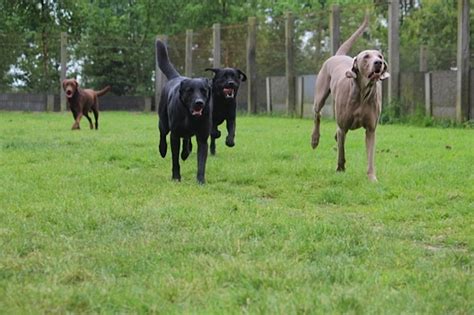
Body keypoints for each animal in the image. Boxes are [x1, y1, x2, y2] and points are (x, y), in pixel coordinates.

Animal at [156, 40, 212, 186]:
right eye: (190, 91)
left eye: (204, 90)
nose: (199, 103)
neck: (190, 116)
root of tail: (177, 77)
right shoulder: (174, 136)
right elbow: (175, 160)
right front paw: (176, 177)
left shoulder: (203, 138)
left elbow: (201, 162)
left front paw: (200, 180)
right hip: (163, 122)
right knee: (162, 135)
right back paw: (162, 150)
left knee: (187, 140)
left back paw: (185, 153)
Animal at [312, 15, 388, 183]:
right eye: (366, 56)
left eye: (380, 56)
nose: (378, 63)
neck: (363, 93)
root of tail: (338, 55)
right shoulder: (343, 126)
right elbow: (341, 151)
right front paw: (340, 169)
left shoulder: (371, 129)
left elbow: (370, 156)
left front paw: (372, 177)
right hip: (320, 95)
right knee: (318, 114)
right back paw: (314, 139)